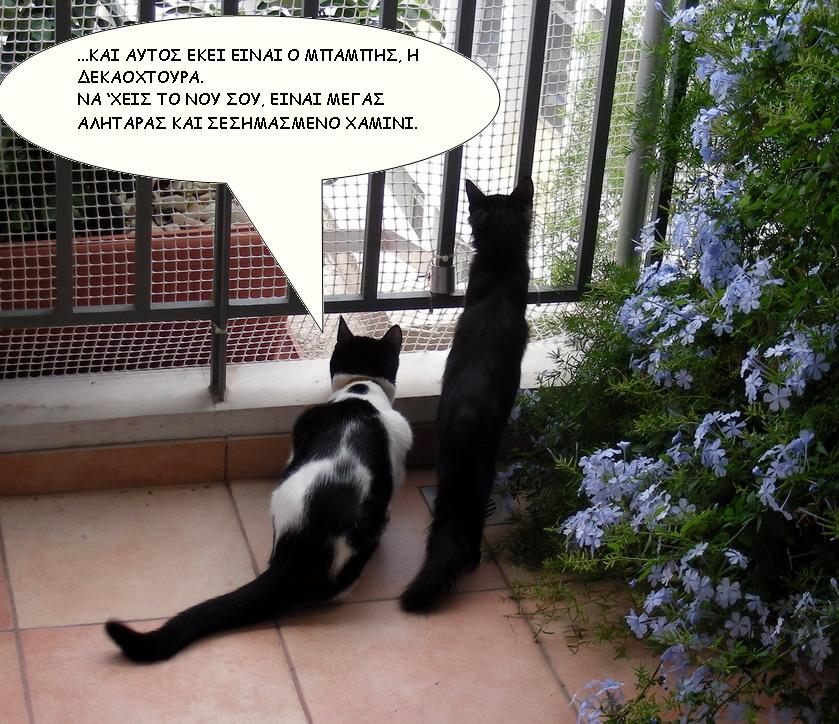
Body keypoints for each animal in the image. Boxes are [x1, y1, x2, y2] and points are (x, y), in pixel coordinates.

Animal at [400, 177, 533, 613]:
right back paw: (473, 560)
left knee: (442, 530)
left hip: (445, 477)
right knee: (468, 529)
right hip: (481, 475)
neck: (501, 263)